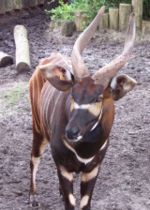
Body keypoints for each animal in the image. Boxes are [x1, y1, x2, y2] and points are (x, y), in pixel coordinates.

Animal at [28, 6, 137, 210]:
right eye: (73, 93)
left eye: (99, 97)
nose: (71, 132)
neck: (84, 149)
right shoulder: (65, 167)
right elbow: (71, 204)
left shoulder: (92, 170)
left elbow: (84, 203)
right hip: (38, 131)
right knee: (33, 159)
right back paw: (33, 197)